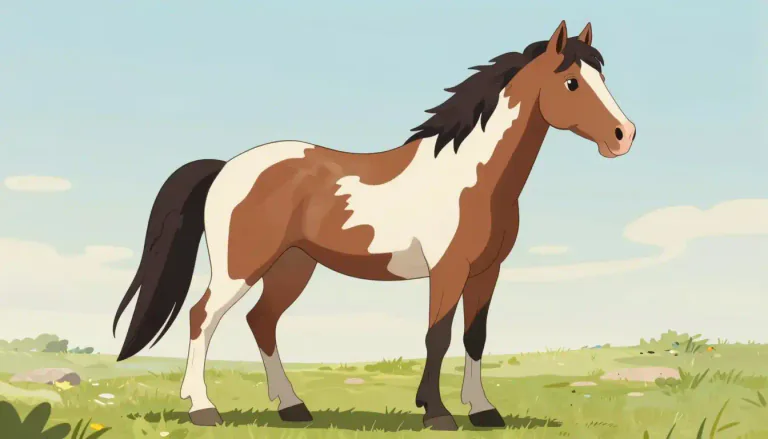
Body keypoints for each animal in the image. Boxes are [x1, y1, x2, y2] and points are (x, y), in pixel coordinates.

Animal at [113, 20, 635, 431]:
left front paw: (484, 411)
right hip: (240, 267)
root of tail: (225, 167)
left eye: (603, 76)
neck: (472, 176)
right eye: (572, 83)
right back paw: (204, 409)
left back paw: (293, 407)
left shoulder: (487, 271)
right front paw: (437, 413)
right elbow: (438, 336)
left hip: (292, 267)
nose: (624, 136)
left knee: (261, 321)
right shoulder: (447, 270)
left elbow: (475, 336)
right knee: (203, 316)